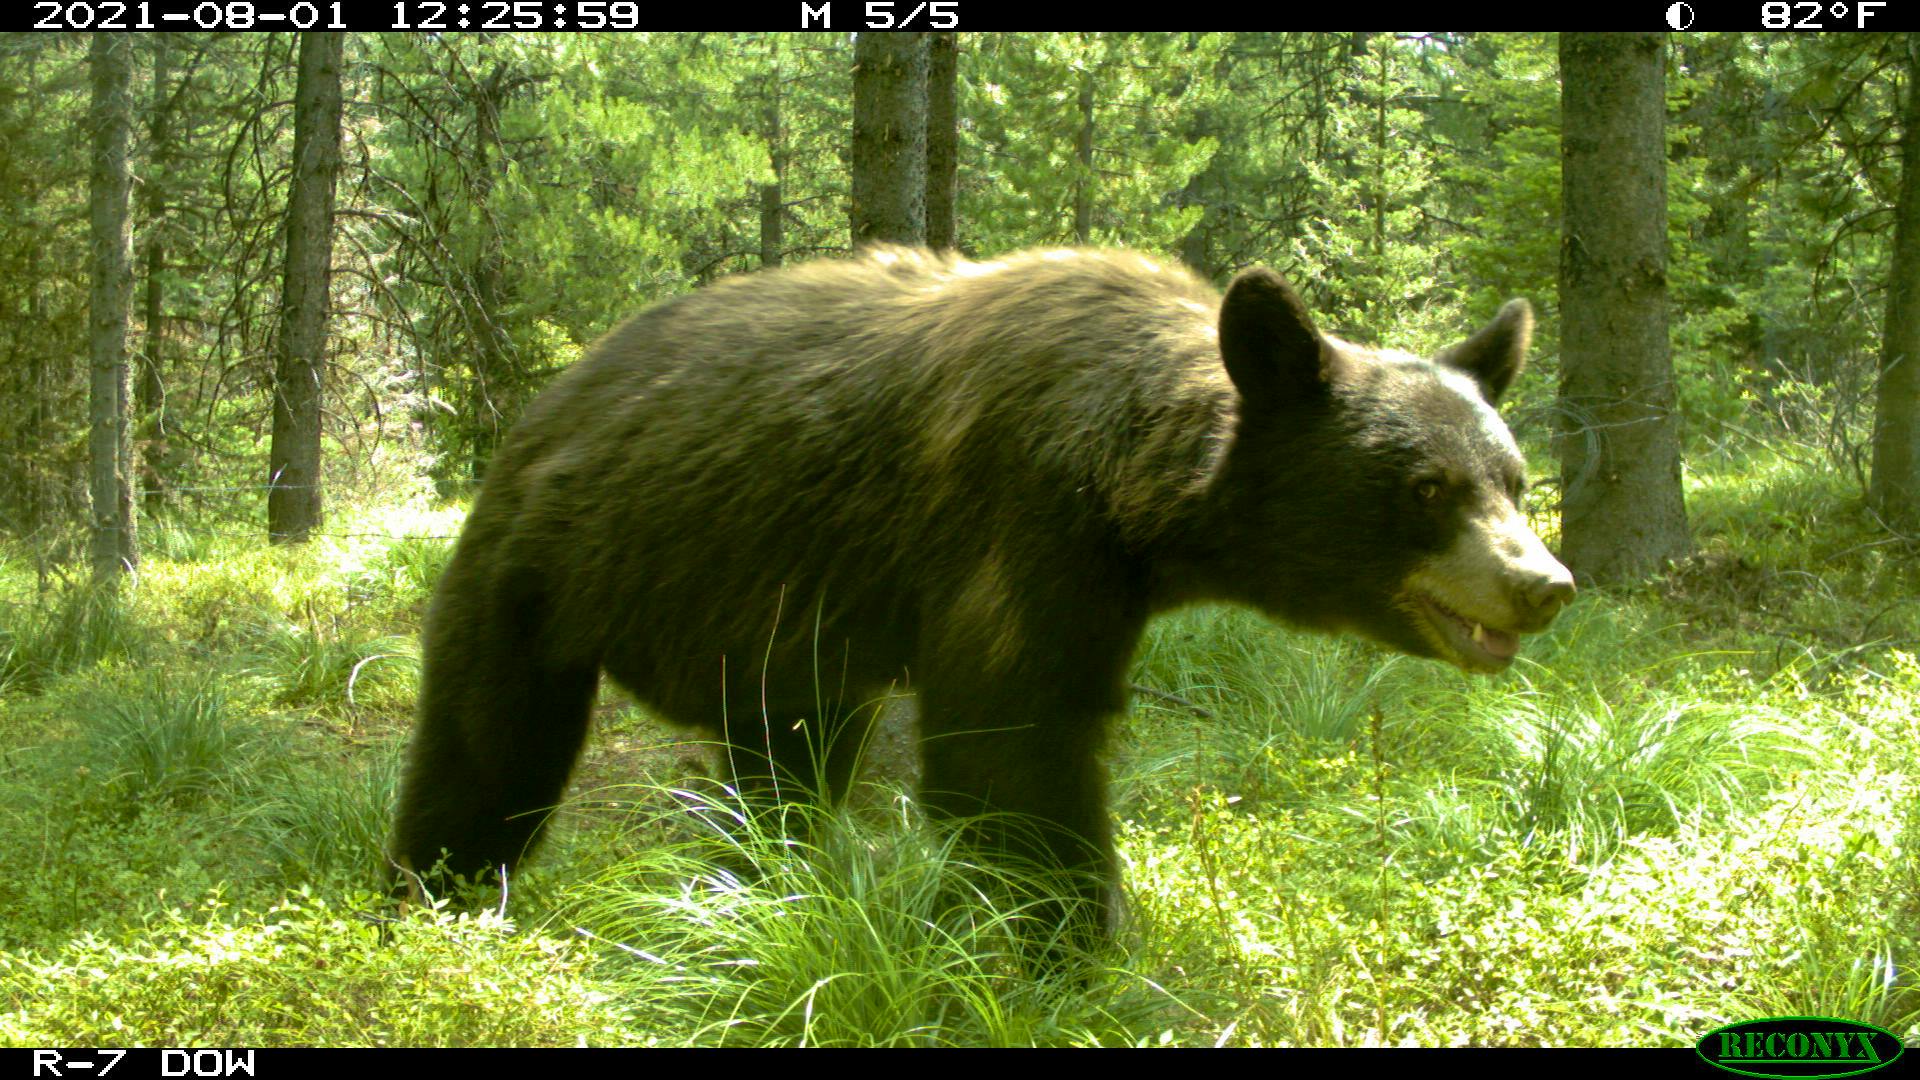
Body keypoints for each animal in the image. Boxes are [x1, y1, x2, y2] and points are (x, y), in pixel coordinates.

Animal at [390, 247, 1575, 948]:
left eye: (1513, 479)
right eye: (1427, 488)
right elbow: (1011, 753)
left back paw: (759, 888)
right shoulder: (1020, 527)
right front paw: (1078, 948)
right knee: (488, 751)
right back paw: (437, 895)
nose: (1543, 584)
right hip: (532, 574)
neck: (1128, 482)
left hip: (775, 635)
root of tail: (549, 400)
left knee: (785, 767)